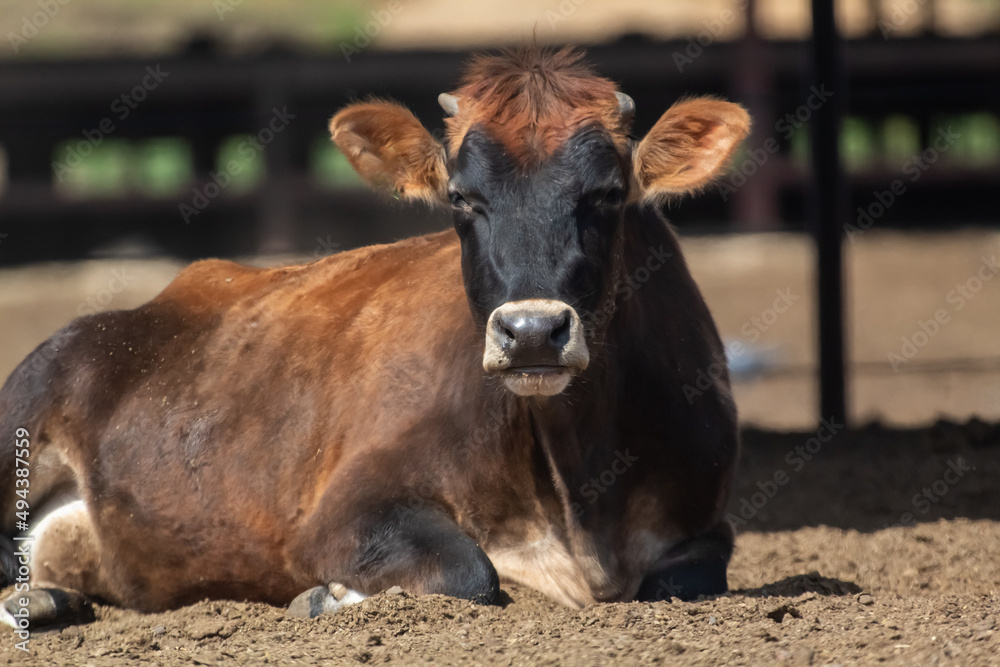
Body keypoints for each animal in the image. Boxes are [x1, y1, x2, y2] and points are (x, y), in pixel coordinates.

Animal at [0, 47, 748, 628]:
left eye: (609, 193)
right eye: (461, 198)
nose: (532, 331)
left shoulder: (708, 522)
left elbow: (683, 579)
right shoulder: (338, 512)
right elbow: (470, 571)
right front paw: (327, 597)